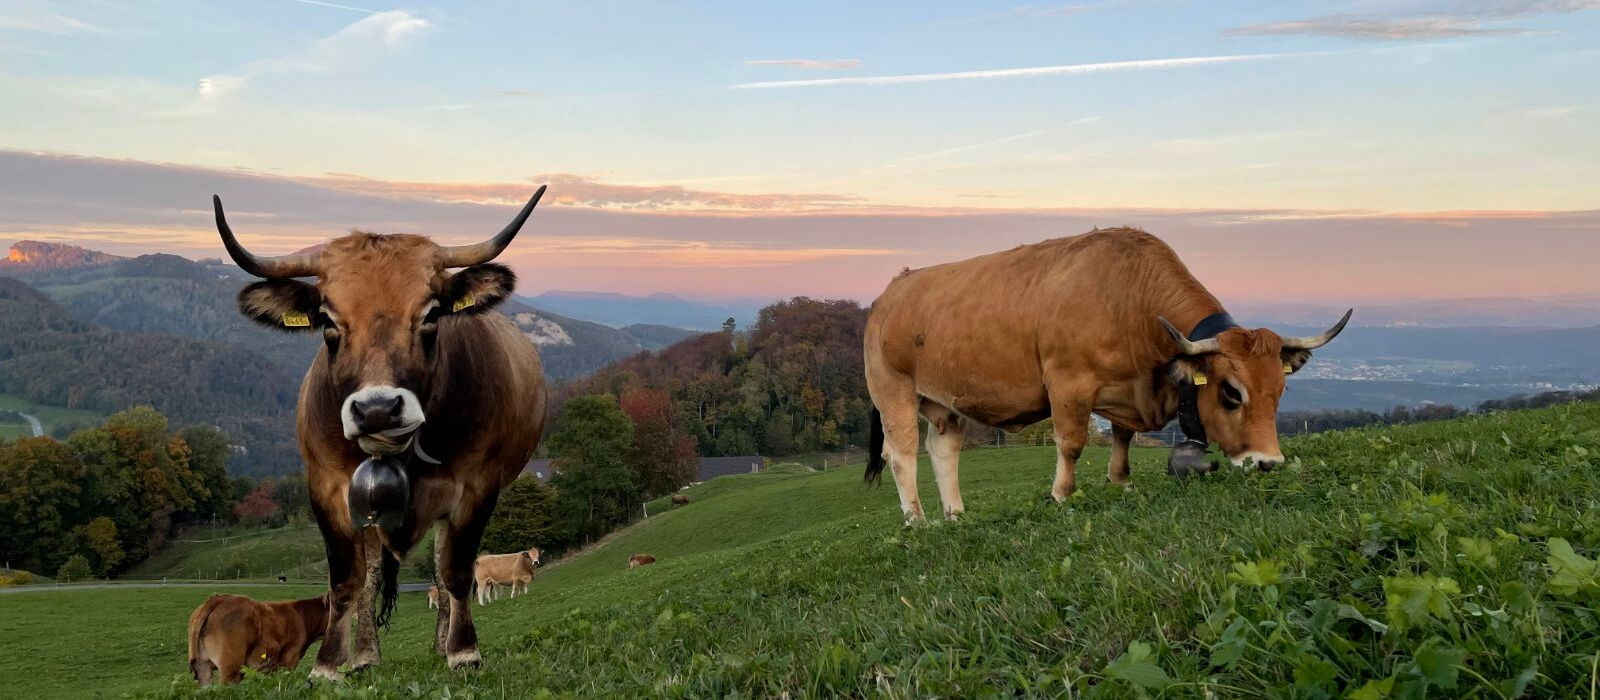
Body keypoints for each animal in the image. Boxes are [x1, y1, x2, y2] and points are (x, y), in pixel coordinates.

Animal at [212, 187, 549, 678]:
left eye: (432, 314)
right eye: (327, 320)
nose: (376, 410)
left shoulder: (478, 486)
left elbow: (455, 570)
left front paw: (463, 650)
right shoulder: (326, 489)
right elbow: (346, 580)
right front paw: (329, 664)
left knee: (439, 568)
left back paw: (440, 643)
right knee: (372, 575)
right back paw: (365, 655)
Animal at [863, 228, 1350, 524]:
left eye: (1280, 390)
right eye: (1232, 393)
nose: (1269, 463)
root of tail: (893, 290)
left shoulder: (1126, 390)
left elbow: (1122, 436)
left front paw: (1121, 482)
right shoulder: (1068, 384)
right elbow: (1071, 443)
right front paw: (1061, 494)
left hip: (942, 402)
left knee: (942, 449)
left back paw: (956, 515)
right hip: (893, 390)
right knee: (901, 454)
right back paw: (918, 521)